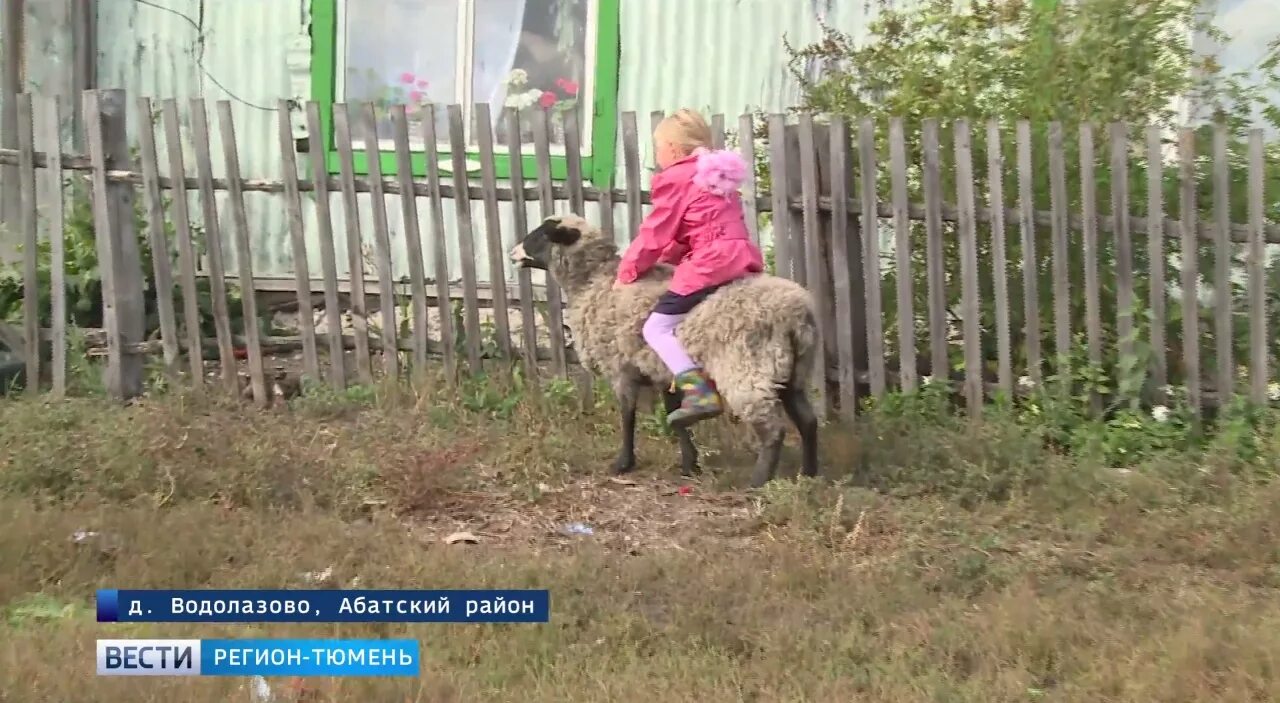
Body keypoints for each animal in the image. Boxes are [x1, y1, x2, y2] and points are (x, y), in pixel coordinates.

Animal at [509, 212, 819, 489]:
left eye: (539, 235)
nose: (512, 253)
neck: (593, 284)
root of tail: (796, 311)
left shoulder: (620, 369)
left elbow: (627, 415)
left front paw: (623, 463)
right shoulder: (660, 370)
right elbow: (675, 418)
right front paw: (689, 463)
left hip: (747, 368)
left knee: (773, 430)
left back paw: (757, 482)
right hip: (791, 370)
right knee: (808, 420)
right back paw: (810, 474)